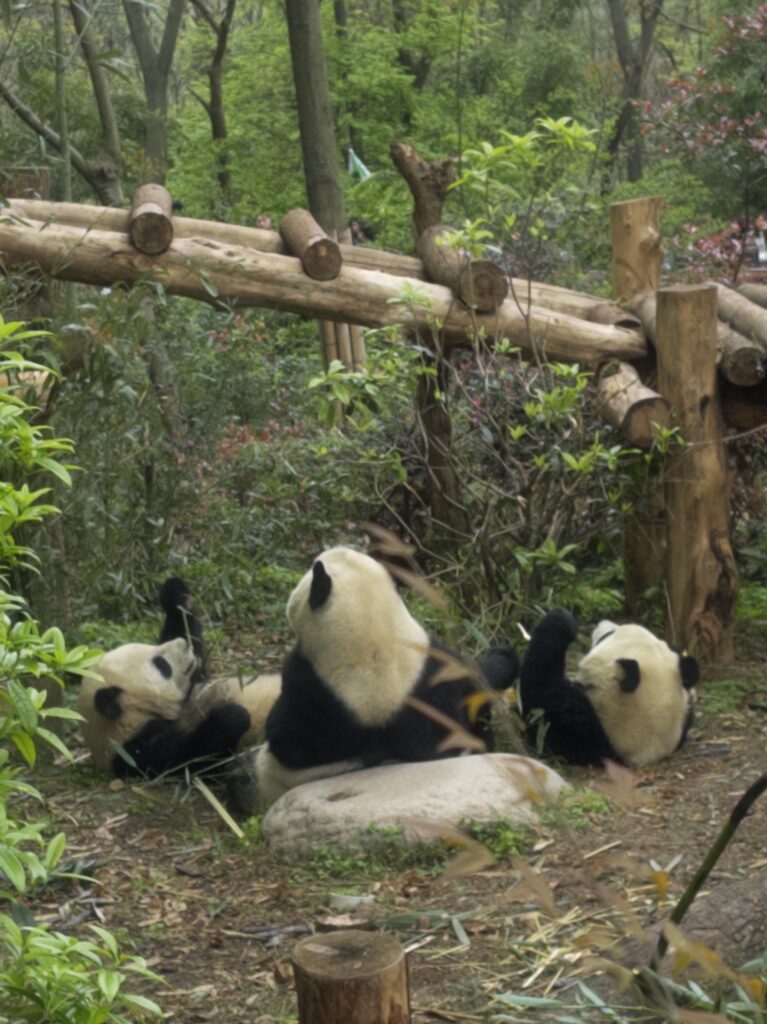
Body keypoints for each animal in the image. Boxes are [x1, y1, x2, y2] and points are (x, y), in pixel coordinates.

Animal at [253, 546, 519, 806]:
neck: (377, 648)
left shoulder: (310, 691)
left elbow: (286, 740)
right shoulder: (436, 668)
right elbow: (474, 686)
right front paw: (501, 658)